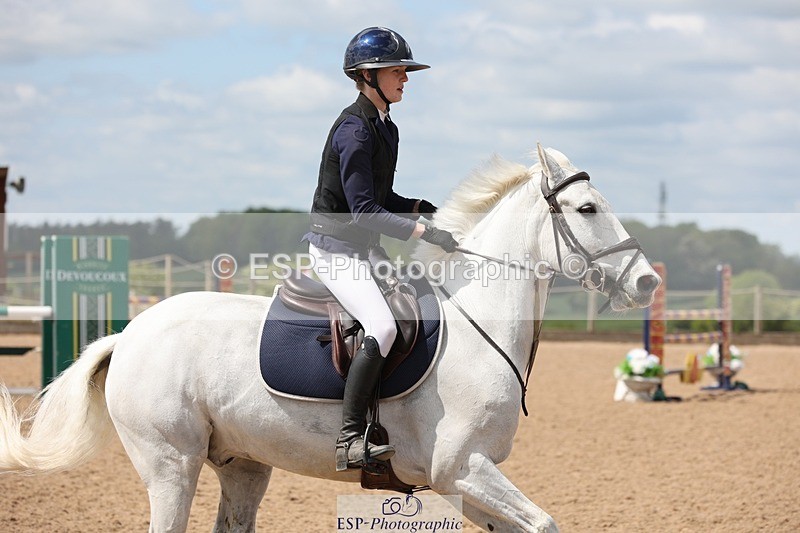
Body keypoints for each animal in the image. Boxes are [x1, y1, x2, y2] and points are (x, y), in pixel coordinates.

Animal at [0, 145, 660, 532]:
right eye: (588, 208)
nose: (648, 281)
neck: (480, 326)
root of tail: (130, 334)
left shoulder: (468, 483)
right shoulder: (461, 469)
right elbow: (544, 522)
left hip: (242, 465)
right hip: (170, 464)